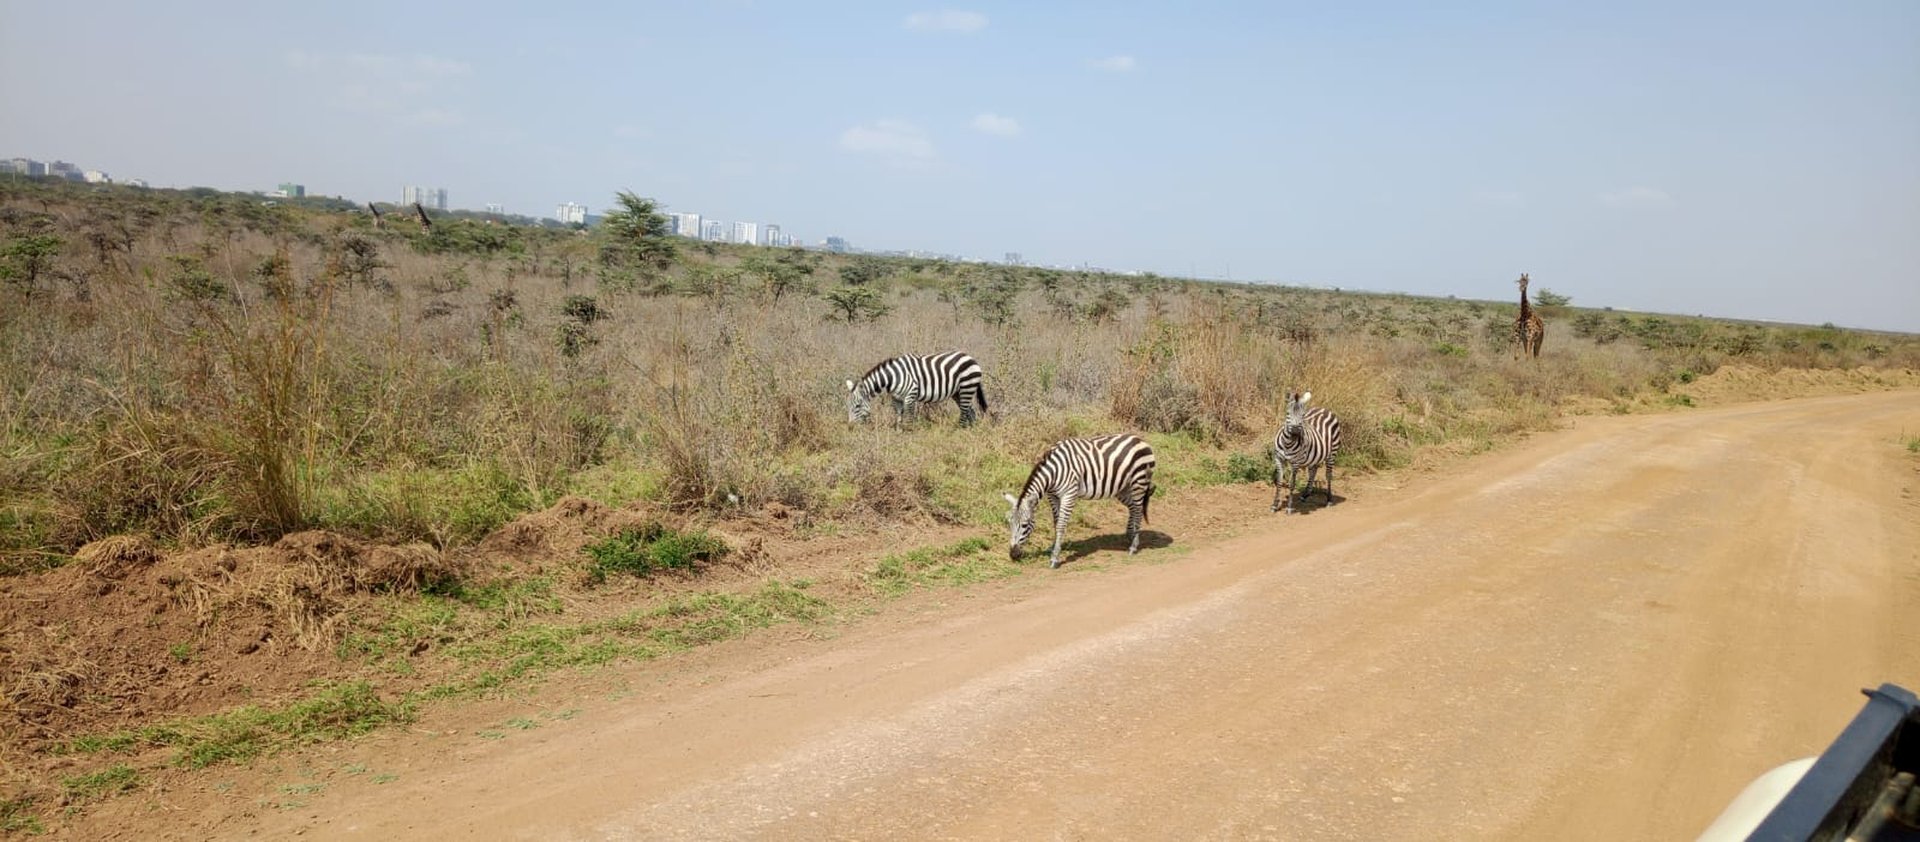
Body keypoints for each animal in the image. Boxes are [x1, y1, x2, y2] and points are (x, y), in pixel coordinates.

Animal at [845, 351, 989, 427]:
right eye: (848, 406)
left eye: (857, 406)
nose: (850, 427)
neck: (893, 377)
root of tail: (970, 357)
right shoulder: (896, 398)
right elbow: (898, 416)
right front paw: (898, 432)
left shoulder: (910, 395)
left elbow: (909, 416)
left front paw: (909, 433)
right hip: (958, 392)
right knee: (970, 411)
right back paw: (969, 430)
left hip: (967, 386)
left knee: (965, 411)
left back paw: (959, 430)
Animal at [1003, 433, 1157, 569]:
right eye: (1009, 524)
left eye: (1024, 525)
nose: (1013, 555)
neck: (1053, 472)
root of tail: (1141, 440)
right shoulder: (1053, 496)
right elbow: (1056, 523)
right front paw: (1055, 548)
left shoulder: (1069, 495)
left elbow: (1061, 525)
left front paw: (1054, 558)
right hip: (1122, 487)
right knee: (1132, 507)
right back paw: (1130, 536)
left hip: (1138, 482)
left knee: (1138, 510)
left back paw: (1134, 546)